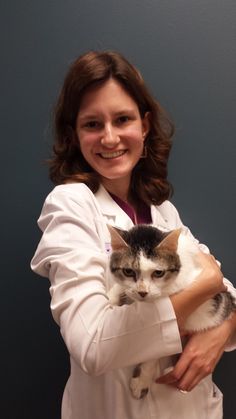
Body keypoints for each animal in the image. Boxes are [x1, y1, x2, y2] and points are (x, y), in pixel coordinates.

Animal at [107, 226, 236, 400]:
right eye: (128, 271)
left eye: (158, 273)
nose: (142, 292)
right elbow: (123, 287)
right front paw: (113, 296)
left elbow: (156, 347)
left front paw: (142, 380)